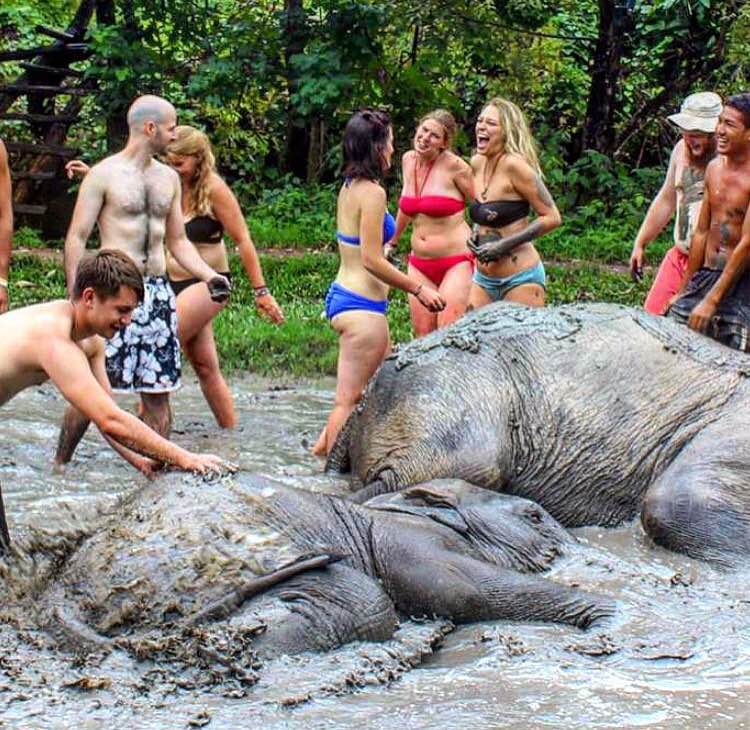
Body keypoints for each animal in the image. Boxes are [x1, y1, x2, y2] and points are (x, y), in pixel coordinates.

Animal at [34, 473, 611, 669]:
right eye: (535, 515)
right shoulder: (407, 541)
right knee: (365, 604)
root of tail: (60, 589)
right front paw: (609, 621)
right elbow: (464, 591)